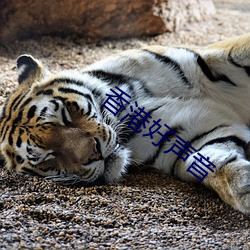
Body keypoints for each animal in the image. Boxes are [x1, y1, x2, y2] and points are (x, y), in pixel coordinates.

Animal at [0, 32, 250, 213]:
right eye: (48, 158)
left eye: (65, 116)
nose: (95, 154)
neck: (126, 107)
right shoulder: (187, 135)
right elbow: (212, 162)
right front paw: (244, 189)